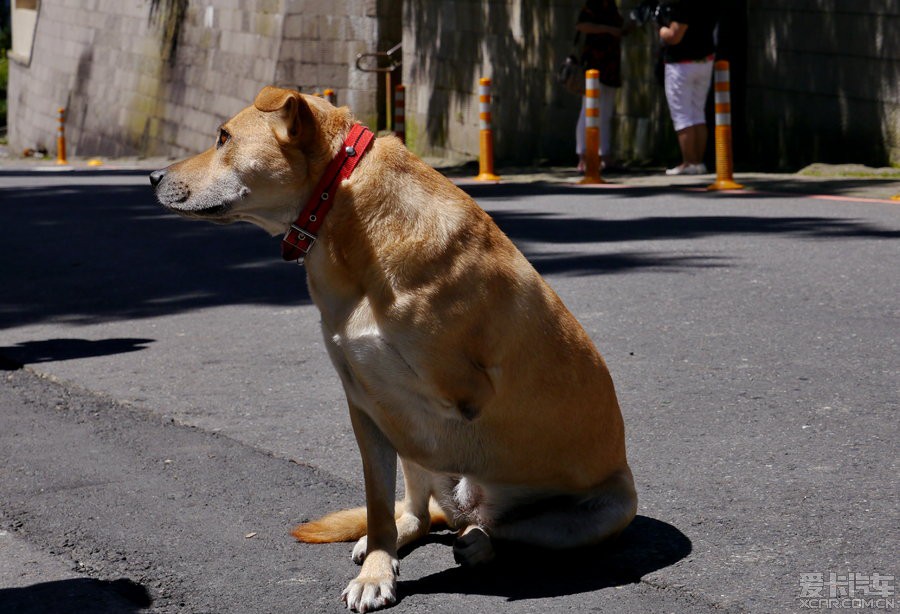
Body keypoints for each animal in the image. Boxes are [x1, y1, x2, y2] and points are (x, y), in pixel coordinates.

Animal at [151, 88, 636, 614]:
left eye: (224, 137)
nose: (152, 177)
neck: (342, 206)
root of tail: (466, 511)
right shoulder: (364, 404)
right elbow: (380, 505)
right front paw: (377, 568)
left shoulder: (454, 394)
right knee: (421, 515)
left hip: (607, 512)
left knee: (502, 531)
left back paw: (478, 540)